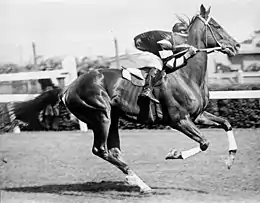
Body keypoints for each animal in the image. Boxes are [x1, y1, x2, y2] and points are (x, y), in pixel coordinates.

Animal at [61, 3, 240, 193]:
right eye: (216, 26)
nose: (236, 45)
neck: (187, 75)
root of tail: (68, 89)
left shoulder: (198, 115)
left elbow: (226, 123)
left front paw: (230, 158)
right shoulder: (179, 120)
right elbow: (204, 143)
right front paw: (174, 153)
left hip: (112, 118)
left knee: (114, 150)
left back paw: (134, 180)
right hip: (101, 116)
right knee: (100, 149)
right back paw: (140, 182)